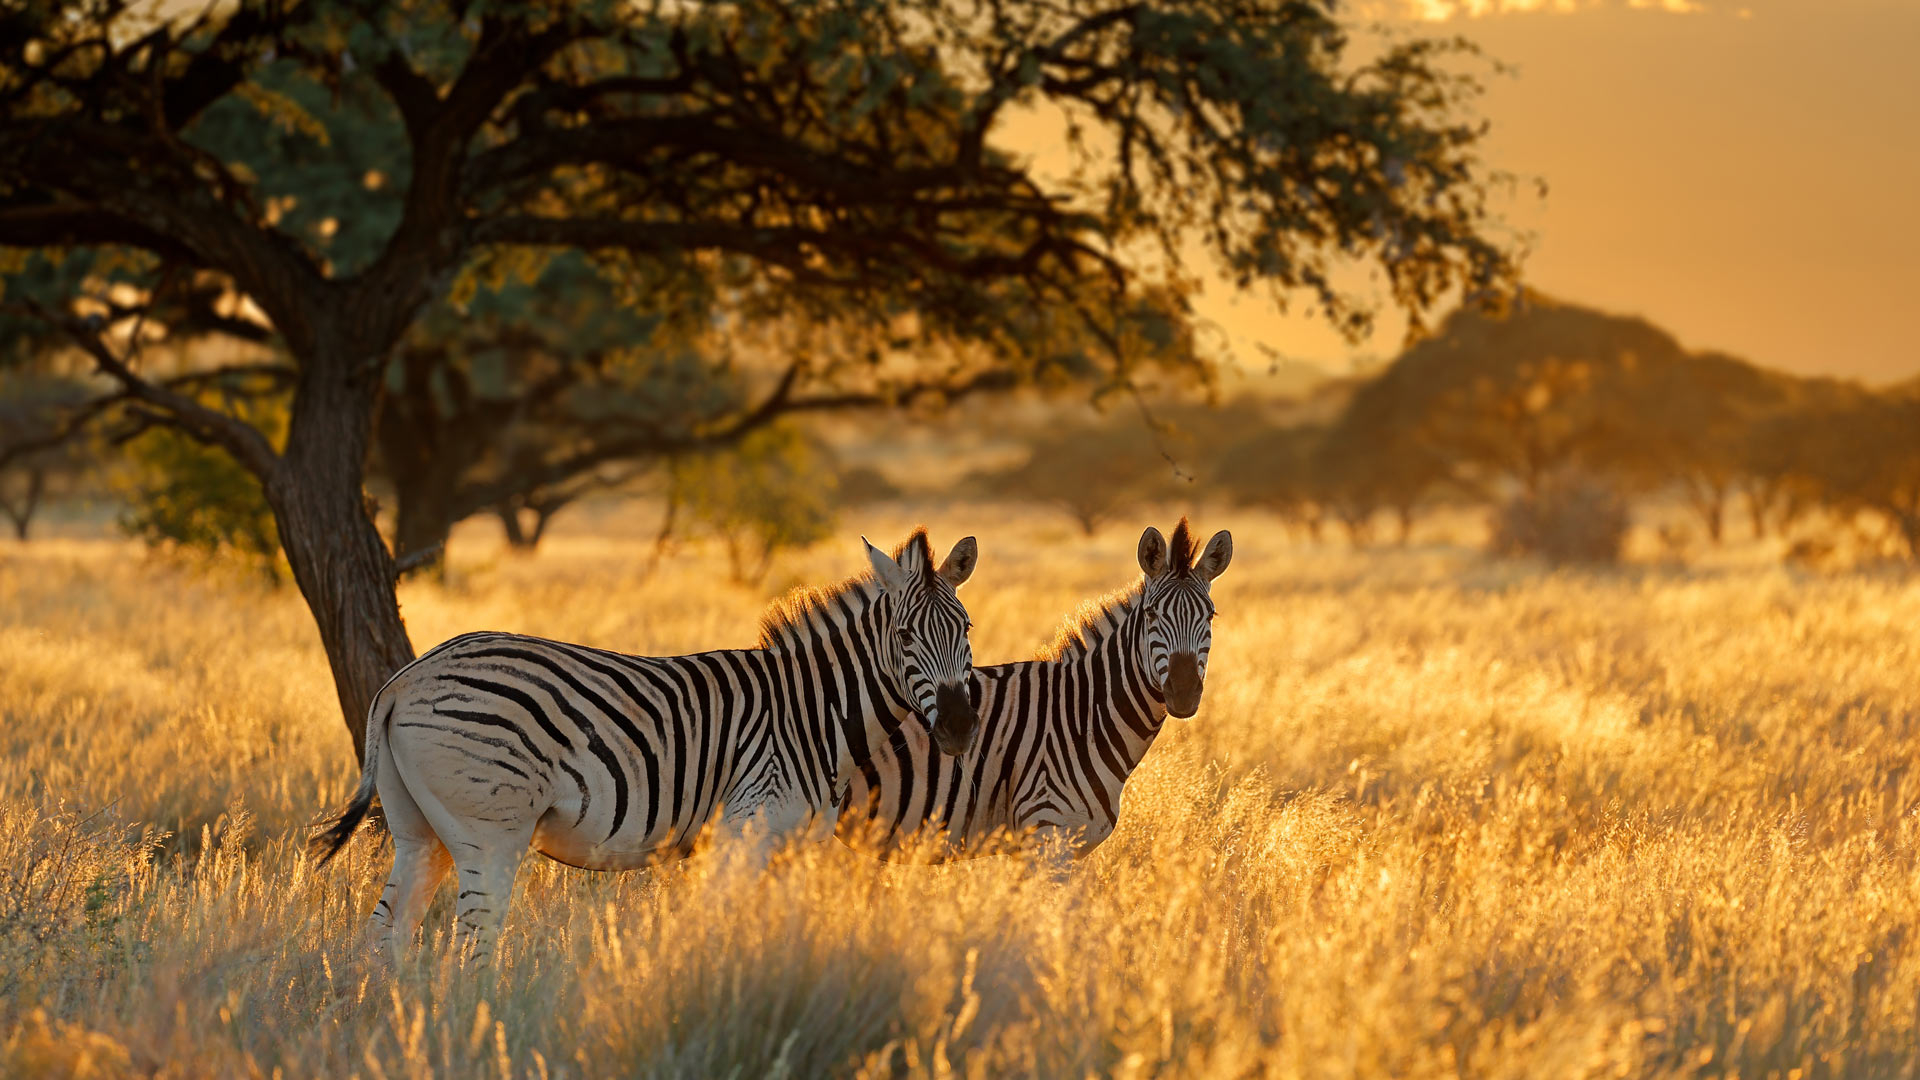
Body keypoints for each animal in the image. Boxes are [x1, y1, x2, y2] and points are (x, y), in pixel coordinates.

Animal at [313, 530, 980, 964]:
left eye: (967, 629)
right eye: (904, 636)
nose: (958, 728)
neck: (810, 714)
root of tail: (405, 679)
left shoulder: (796, 847)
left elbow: (779, 931)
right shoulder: (745, 829)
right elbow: (720, 927)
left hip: (419, 828)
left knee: (386, 935)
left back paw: (391, 1026)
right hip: (491, 829)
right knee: (474, 938)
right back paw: (481, 1024)